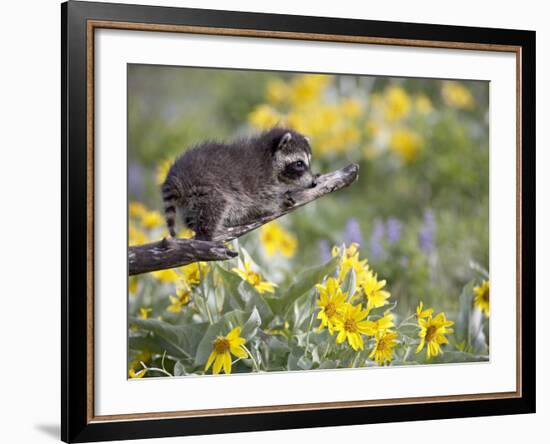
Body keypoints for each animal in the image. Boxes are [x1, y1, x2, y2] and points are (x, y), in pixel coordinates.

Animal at [162, 126, 320, 241]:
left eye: (308, 162)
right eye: (299, 164)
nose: (313, 183)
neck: (269, 157)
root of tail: (176, 175)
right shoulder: (259, 182)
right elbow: (263, 203)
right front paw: (280, 198)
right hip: (206, 185)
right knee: (217, 205)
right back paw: (207, 233)